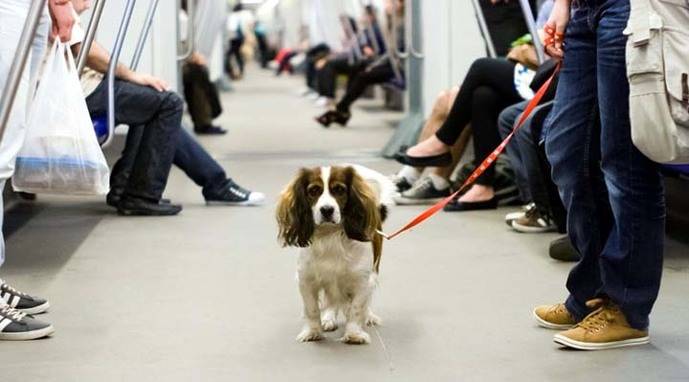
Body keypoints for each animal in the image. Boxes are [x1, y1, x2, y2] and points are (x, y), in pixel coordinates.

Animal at [276, 166, 392, 344]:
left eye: (339, 189)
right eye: (313, 190)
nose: (327, 210)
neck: (330, 236)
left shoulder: (362, 281)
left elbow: (357, 308)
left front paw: (354, 334)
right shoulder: (306, 280)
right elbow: (312, 309)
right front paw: (313, 332)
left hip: (373, 273)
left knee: (366, 301)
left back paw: (369, 316)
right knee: (331, 301)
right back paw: (328, 318)